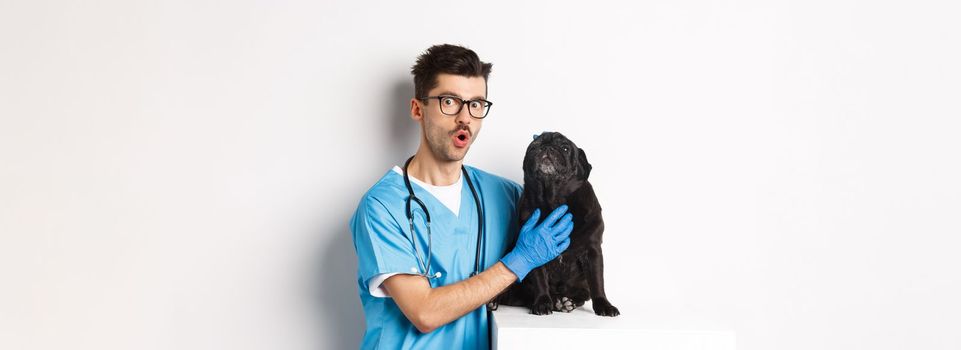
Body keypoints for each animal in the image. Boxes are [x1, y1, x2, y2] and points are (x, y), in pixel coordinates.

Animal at [492, 132, 620, 318]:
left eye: (565, 148)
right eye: (533, 147)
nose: (546, 147)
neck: (554, 200)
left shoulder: (592, 251)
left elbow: (597, 281)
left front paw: (604, 305)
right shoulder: (535, 248)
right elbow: (540, 279)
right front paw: (542, 303)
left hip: (581, 288)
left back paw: (564, 303)